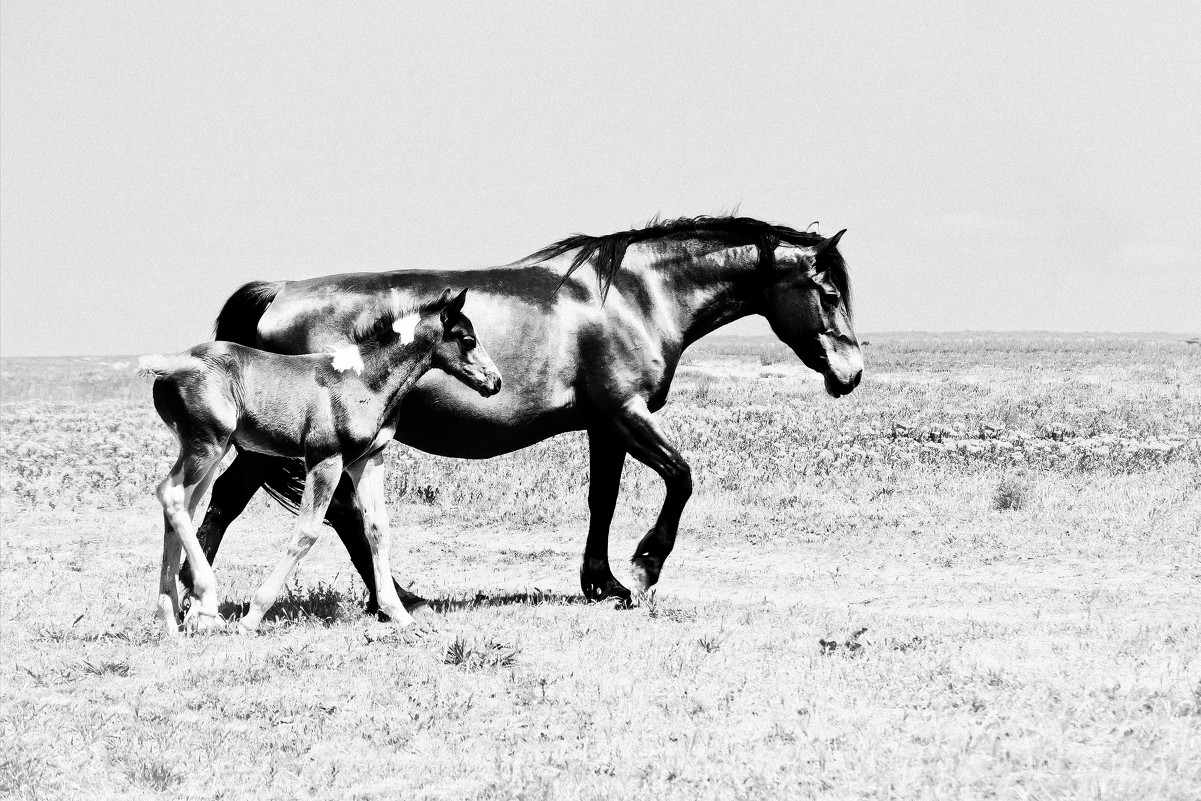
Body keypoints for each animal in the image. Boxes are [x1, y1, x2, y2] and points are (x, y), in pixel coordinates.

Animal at [142, 288, 499, 638]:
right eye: (468, 339)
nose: (495, 382)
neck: (363, 379)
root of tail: (169, 366)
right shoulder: (324, 459)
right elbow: (307, 531)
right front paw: (252, 616)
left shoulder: (368, 460)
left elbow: (377, 527)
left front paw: (400, 614)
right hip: (206, 445)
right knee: (172, 495)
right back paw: (205, 607)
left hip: (212, 449)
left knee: (181, 504)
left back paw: (170, 616)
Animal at [184, 216, 864, 610]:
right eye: (829, 292)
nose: (851, 374)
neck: (635, 296)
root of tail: (280, 293)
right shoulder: (627, 414)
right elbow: (681, 477)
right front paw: (643, 570)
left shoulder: (604, 426)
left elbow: (602, 499)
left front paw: (603, 583)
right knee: (265, 510)